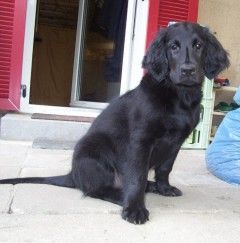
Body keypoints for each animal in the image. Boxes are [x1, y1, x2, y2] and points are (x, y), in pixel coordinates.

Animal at [0, 22, 229, 224]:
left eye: (198, 45)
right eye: (173, 47)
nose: (188, 70)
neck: (178, 95)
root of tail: (72, 175)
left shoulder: (176, 142)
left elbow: (165, 168)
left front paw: (164, 188)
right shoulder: (140, 142)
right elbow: (136, 177)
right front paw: (134, 209)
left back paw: (151, 186)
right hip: (91, 153)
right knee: (95, 189)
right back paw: (123, 196)